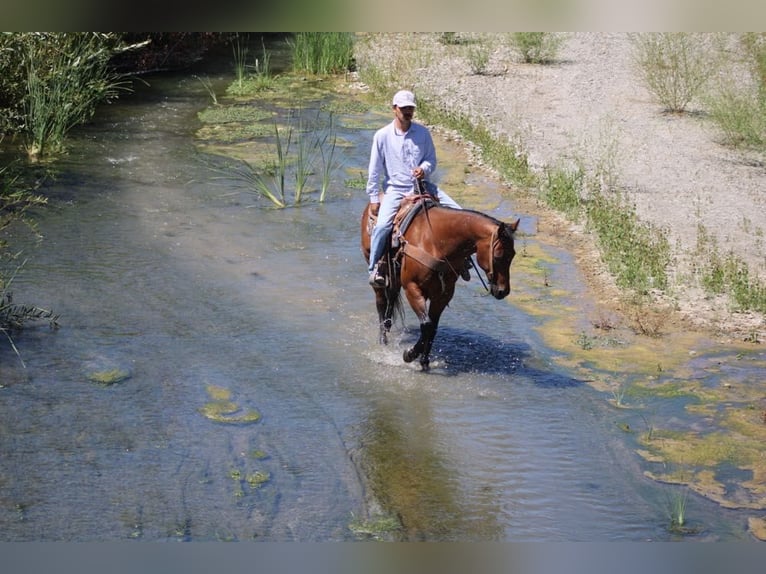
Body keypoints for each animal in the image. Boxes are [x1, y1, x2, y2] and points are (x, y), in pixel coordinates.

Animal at [360, 196, 520, 371]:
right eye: (498, 255)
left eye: (513, 254)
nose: (503, 291)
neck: (434, 242)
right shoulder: (412, 288)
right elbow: (426, 325)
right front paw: (410, 355)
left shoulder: (444, 294)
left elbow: (433, 328)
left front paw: (424, 361)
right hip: (377, 269)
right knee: (381, 301)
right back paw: (383, 339)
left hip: (395, 275)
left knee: (392, 297)